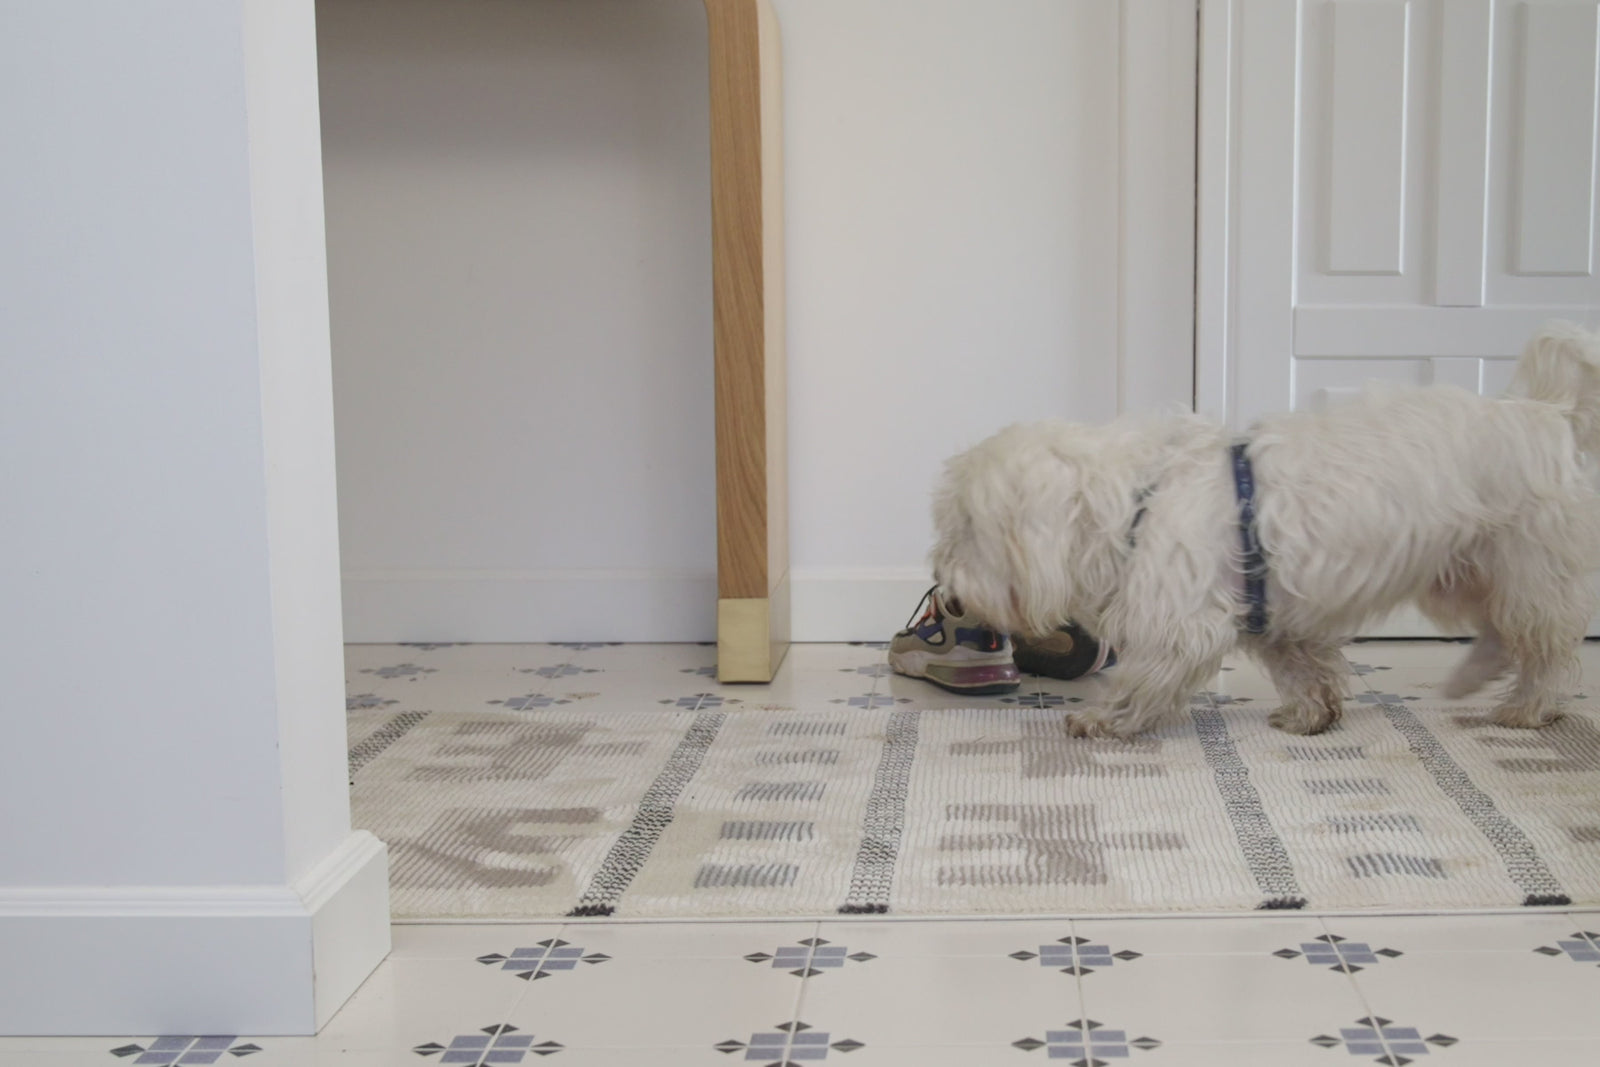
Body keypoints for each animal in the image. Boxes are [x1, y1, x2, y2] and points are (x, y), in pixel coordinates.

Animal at [930, 323, 1600, 739]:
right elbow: (1303, 667)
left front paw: (1106, 721)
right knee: (1502, 636)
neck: (1135, 500)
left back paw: (1527, 708)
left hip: (1525, 565)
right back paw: (1469, 681)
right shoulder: (1273, 611)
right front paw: (1310, 715)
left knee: (1544, 647)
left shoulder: (1183, 621)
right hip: (1464, 570)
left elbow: (1146, 675)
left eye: (967, 527)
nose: (948, 589)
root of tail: (1549, 413)